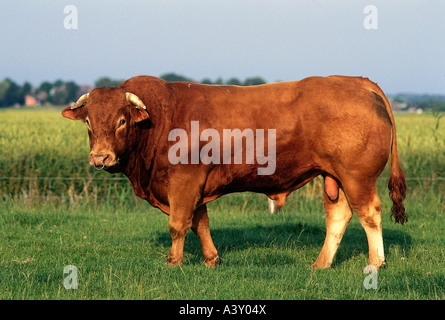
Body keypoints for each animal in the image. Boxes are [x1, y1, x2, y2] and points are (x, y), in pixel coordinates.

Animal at [62, 74, 406, 268]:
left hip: (357, 177)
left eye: (121, 121)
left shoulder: (184, 181)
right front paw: (211, 260)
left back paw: (375, 264)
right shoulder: (195, 185)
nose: (100, 158)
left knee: (370, 214)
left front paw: (174, 262)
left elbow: (178, 224)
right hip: (334, 176)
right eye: (89, 122)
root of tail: (356, 81)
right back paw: (321, 265)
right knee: (338, 216)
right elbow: (199, 222)